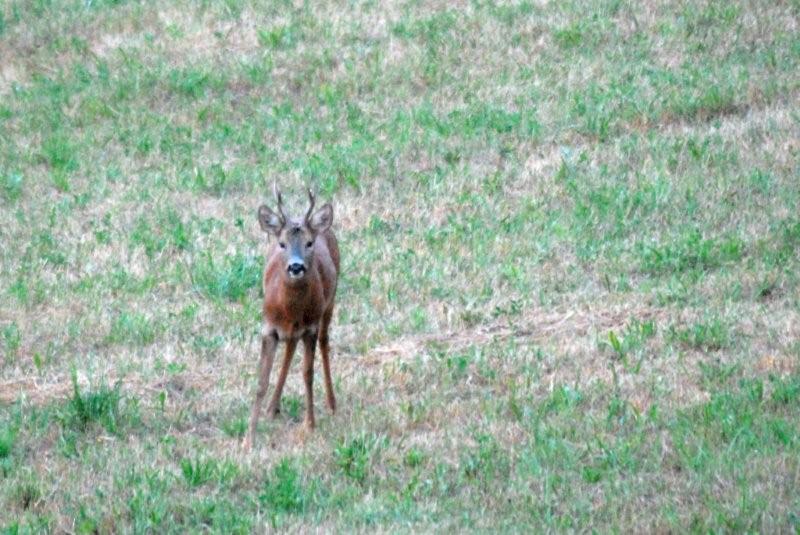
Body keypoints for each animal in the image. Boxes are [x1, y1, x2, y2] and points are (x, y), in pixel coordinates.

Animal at [242, 185, 340, 452]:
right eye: (282, 244)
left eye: (309, 243)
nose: (296, 267)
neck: (290, 311)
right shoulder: (268, 328)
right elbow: (261, 381)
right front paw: (249, 438)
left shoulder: (310, 327)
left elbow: (308, 374)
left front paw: (310, 425)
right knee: (289, 349)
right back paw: (272, 406)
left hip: (330, 302)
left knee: (325, 341)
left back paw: (332, 402)